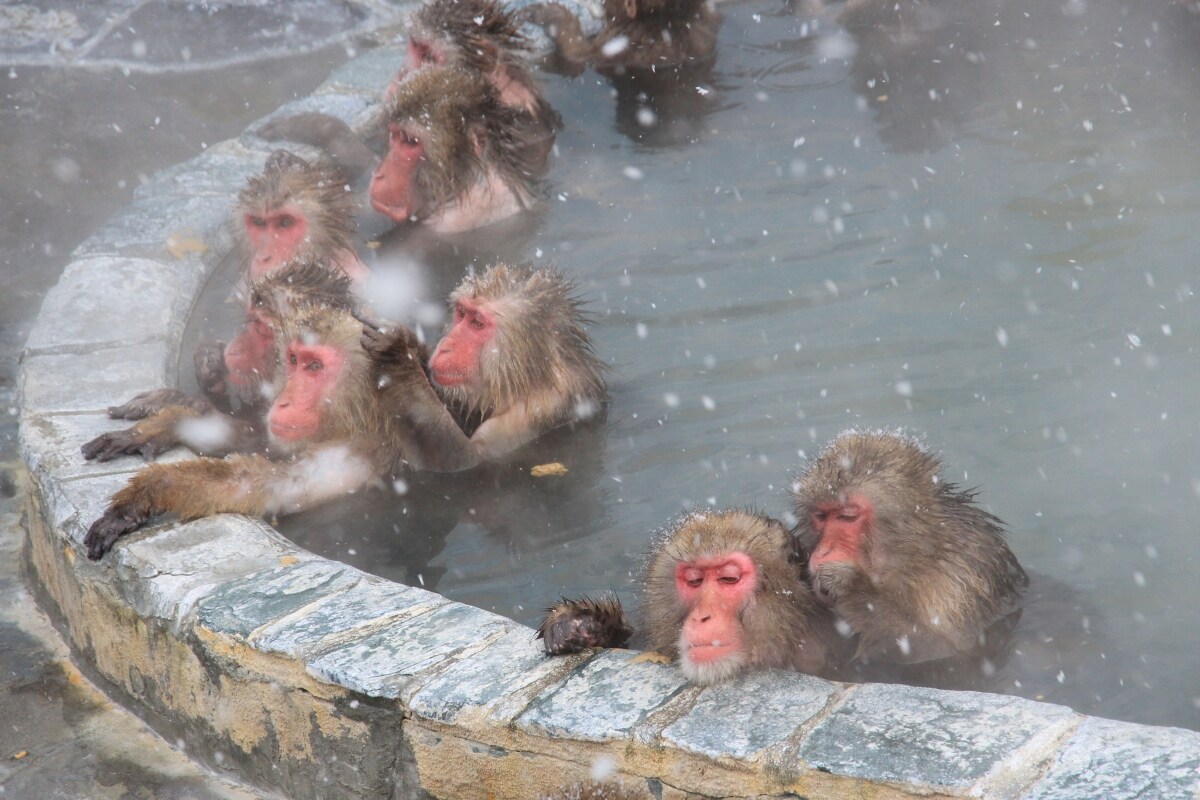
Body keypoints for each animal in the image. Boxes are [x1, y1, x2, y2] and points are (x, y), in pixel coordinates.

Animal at [792, 429, 1027, 666]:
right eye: (821, 516)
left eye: (847, 516)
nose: (823, 552)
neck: (914, 559)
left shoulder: (961, 583)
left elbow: (943, 648)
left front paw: (851, 586)